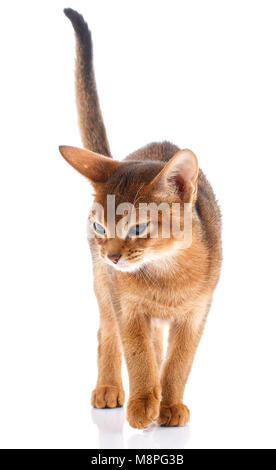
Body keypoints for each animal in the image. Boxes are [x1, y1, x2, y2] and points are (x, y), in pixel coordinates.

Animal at [59, 9, 222, 430]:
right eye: (100, 227)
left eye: (137, 228)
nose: (113, 256)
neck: (167, 272)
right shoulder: (127, 306)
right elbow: (137, 354)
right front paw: (143, 402)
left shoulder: (196, 314)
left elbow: (179, 361)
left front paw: (169, 404)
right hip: (103, 287)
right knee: (106, 334)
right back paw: (109, 389)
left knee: (159, 346)